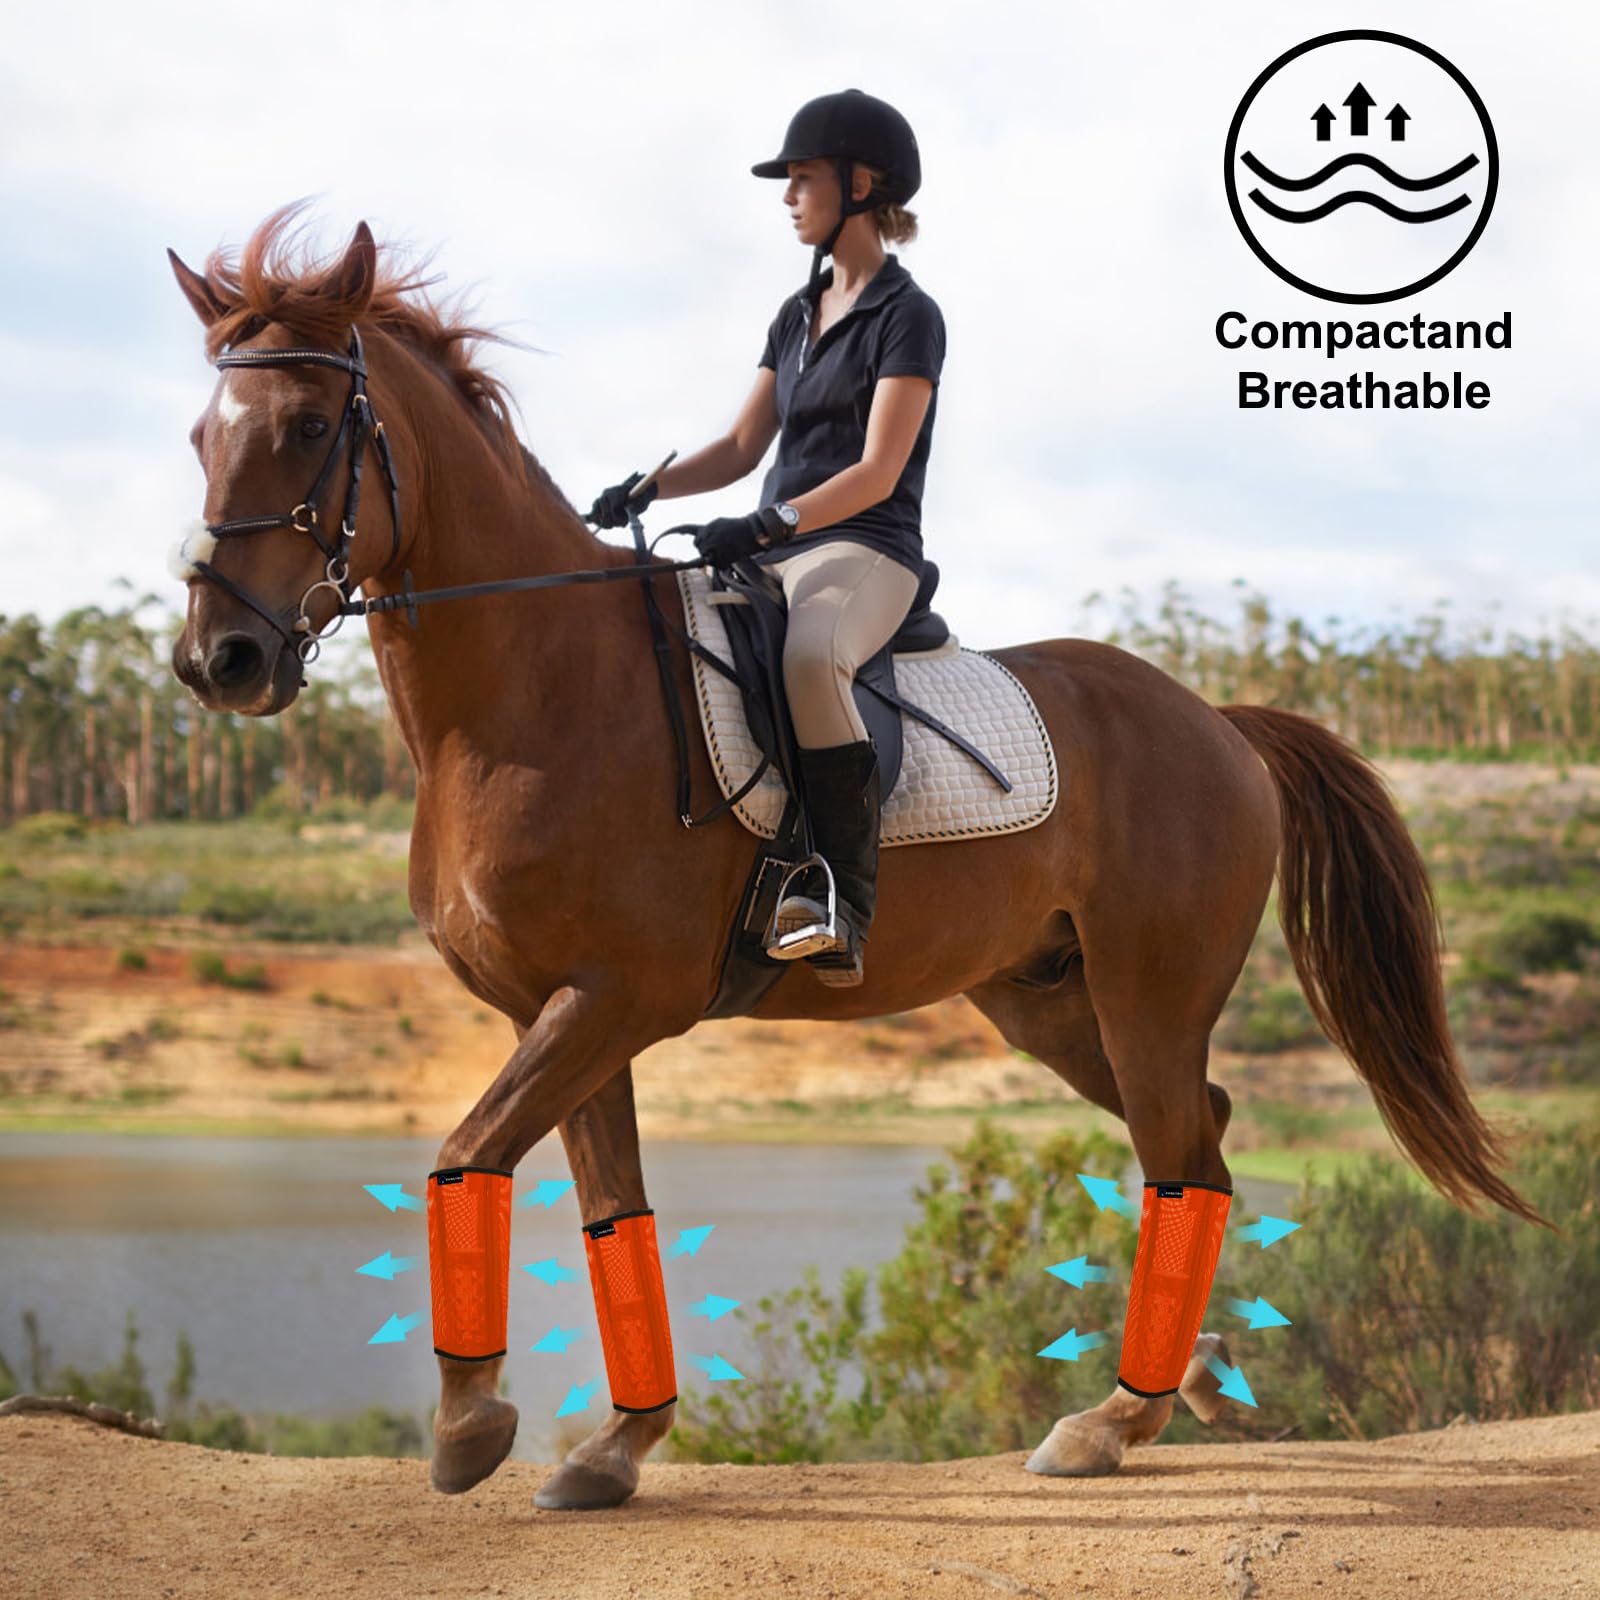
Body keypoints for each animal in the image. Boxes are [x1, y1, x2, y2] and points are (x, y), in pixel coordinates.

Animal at [166, 205, 1552, 1510]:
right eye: (197, 436)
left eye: (307, 425)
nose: (220, 660)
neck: (534, 690)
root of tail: (1216, 718)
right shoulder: (558, 1014)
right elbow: (609, 1210)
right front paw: (615, 1449)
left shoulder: (613, 999)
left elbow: (462, 1153)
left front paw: (470, 1428)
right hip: (1046, 1001)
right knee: (1194, 1140)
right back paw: (1183, 1380)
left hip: (1147, 993)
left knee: (1178, 1145)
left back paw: (1110, 1420)